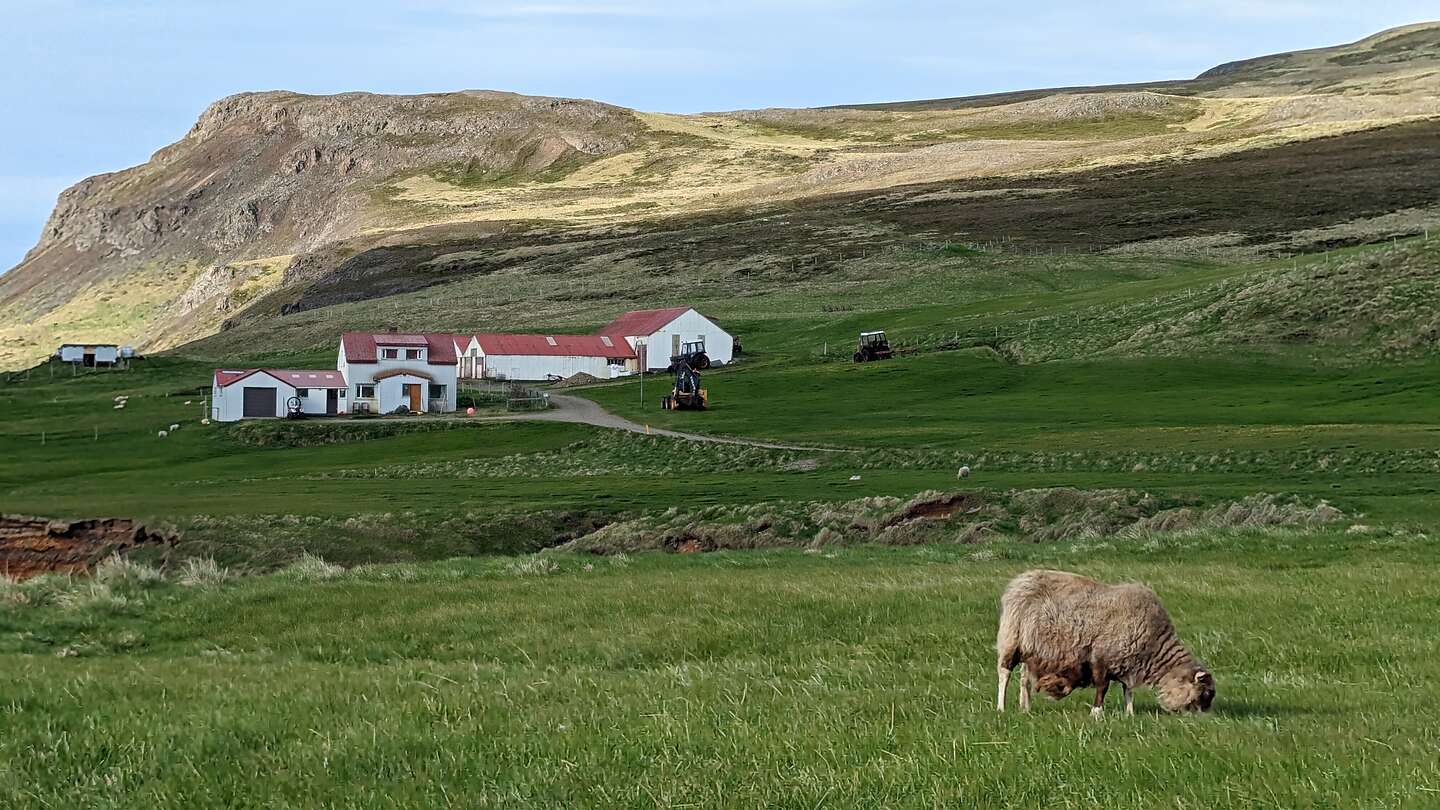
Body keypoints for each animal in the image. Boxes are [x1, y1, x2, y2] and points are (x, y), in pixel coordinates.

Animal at [996, 567, 1209, 711]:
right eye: (1205, 693)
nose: (1201, 720)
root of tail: (1019, 581)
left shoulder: (1127, 662)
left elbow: (1127, 690)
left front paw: (1129, 713)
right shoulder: (1100, 658)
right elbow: (1103, 687)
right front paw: (1096, 713)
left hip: (1030, 649)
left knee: (1024, 679)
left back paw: (1026, 708)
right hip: (1012, 638)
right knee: (1004, 673)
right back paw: (1001, 708)